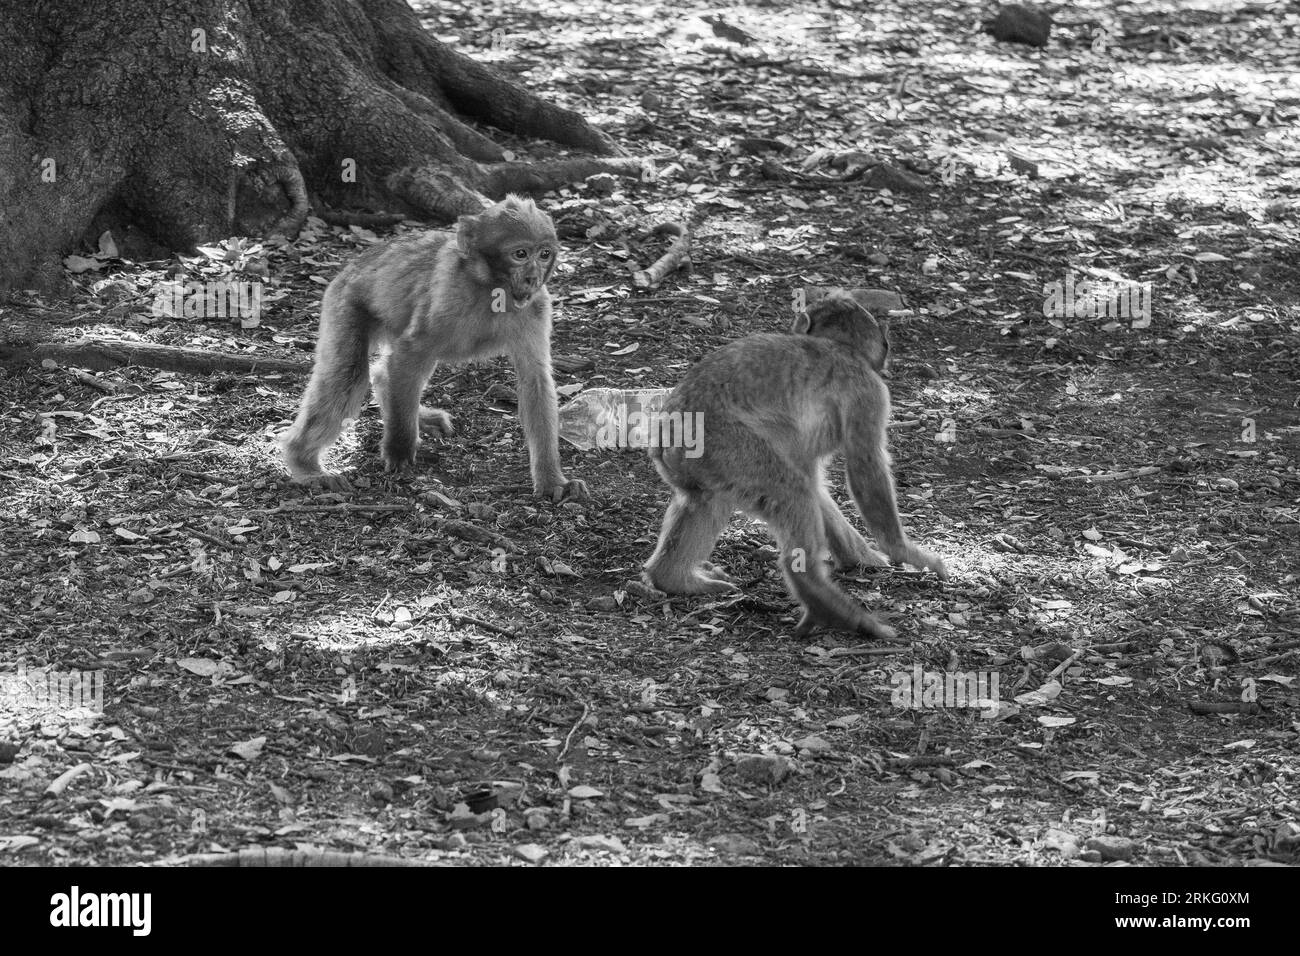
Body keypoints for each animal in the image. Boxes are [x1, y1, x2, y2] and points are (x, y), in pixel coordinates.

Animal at [286, 197, 595, 504]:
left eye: (544, 254)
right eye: (520, 254)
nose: (533, 277)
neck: (491, 289)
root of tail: (351, 266)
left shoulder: (535, 307)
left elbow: (535, 380)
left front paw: (552, 479)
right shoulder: (448, 296)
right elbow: (407, 355)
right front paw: (398, 449)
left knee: (383, 373)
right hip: (345, 302)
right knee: (349, 373)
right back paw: (303, 462)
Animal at [644, 287, 951, 639]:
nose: (887, 349)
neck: (841, 348)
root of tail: (667, 430)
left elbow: (813, 481)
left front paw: (859, 557)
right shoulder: (869, 390)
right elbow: (865, 462)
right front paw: (901, 549)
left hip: (700, 459)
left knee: (709, 499)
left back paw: (672, 578)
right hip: (719, 441)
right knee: (791, 493)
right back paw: (820, 596)